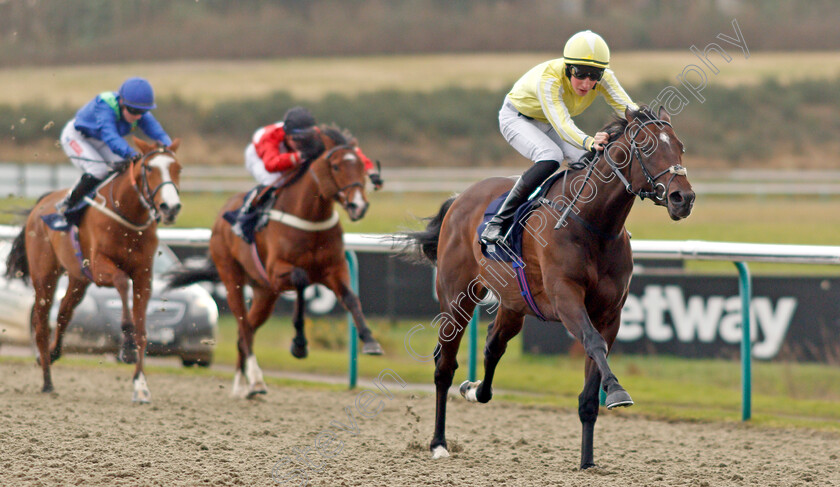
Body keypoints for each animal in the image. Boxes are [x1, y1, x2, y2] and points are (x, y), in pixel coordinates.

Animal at [4, 137, 182, 404]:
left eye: (178, 168)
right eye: (150, 168)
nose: (170, 207)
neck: (126, 215)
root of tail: (41, 203)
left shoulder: (143, 276)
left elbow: (142, 330)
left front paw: (140, 385)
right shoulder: (99, 268)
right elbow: (121, 281)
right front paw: (127, 346)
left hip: (79, 279)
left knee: (64, 313)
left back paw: (53, 354)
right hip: (45, 276)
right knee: (40, 323)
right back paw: (47, 381)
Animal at [166, 126, 382, 400]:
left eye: (362, 166)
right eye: (335, 166)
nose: (358, 205)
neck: (311, 216)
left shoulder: (334, 269)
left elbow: (351, 298)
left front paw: (371, 341)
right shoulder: (277, 271)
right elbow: (301, 281)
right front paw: (299, 344)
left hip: (264, 293)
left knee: (244, 331)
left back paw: (242, 386)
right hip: (232, 278)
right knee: (244, 327)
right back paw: (256, 380)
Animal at [406, 106, 696, 468]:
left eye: (681, 147)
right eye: (646, 148)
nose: (683, 198)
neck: (593, 224)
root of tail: (460, 199)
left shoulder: (610, 313)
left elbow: (592, 379)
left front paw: (588, 461)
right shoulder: (565, 297)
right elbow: (593, 342)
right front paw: (618, 391)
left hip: (513, 304)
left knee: (493, 346)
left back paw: (474, 390)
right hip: (456, 297)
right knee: (444, 365)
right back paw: (438, 443)